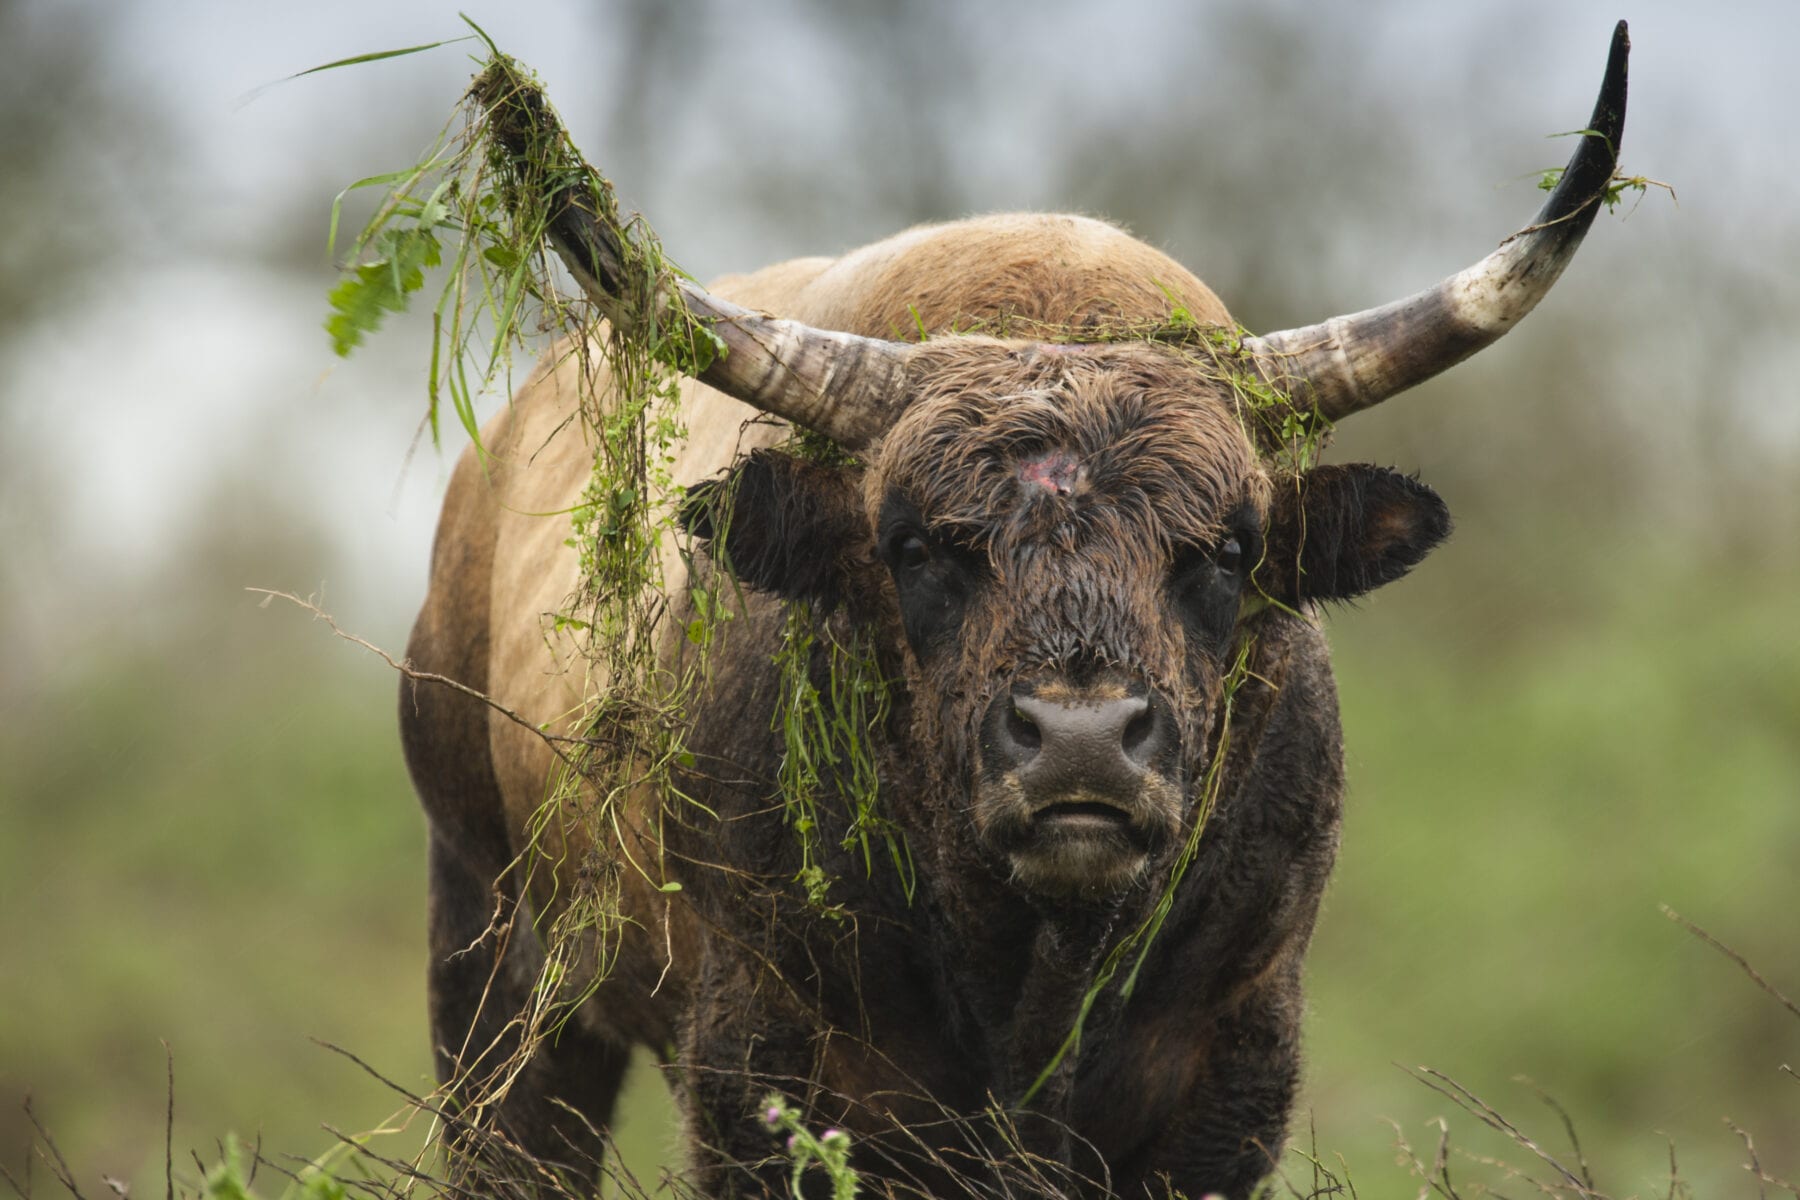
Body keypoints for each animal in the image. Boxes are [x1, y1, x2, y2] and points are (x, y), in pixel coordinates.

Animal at [401, 25, 1641, 1200]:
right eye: (914, 545)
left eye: (1229, 549)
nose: (1081, 745)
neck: (1035, 977)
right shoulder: (759, 1070)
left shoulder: (1233, 1071)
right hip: (496, 972)